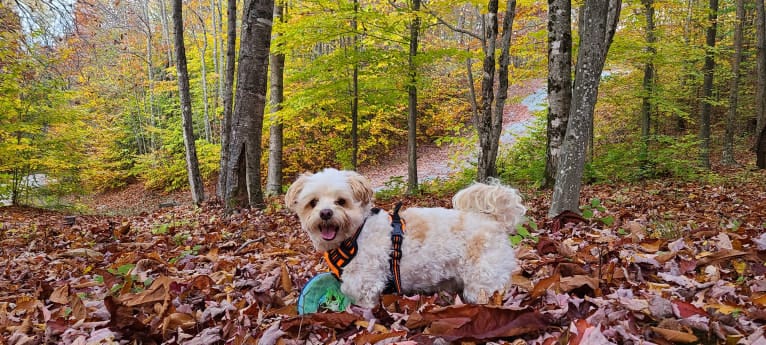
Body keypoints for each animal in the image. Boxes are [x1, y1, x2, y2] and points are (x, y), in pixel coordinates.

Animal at [288, 168, 528, 308]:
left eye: (341, 201)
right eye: (313, 202)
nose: (325, 213)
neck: (354, 235)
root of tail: (495, 220)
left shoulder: (365, 283)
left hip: (483, 278)